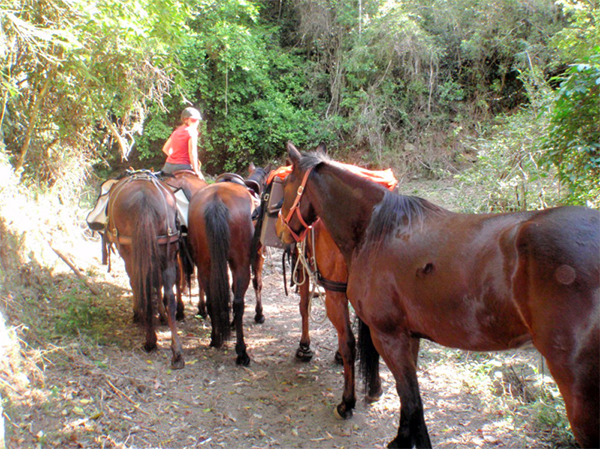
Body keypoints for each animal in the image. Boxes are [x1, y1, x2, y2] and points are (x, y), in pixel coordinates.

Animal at [105, 170, 184, 370]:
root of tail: (144, 197)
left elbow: (137, 285)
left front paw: (138, 313)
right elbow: (159, 288)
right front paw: (160, 315)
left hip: (131, 255)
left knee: (142, 286)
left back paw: (150, 339)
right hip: (167, 255)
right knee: (169, 297)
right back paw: (177, 352)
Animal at [185, 164, 270, 364]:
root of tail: (216, 201)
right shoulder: (257, 256)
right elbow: (257, 284)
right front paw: (259, 314)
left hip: (205, 262)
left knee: (211, 297)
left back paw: (215, 337)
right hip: (240, 263)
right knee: (239, 302)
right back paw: (242, 352)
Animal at [276, 144, 600, 448]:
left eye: (287, 183)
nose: (280, 230)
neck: (376, 230)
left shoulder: (388, 336)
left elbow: (412, 401)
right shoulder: (409, 336)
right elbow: (407, 398)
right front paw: (400, 439)